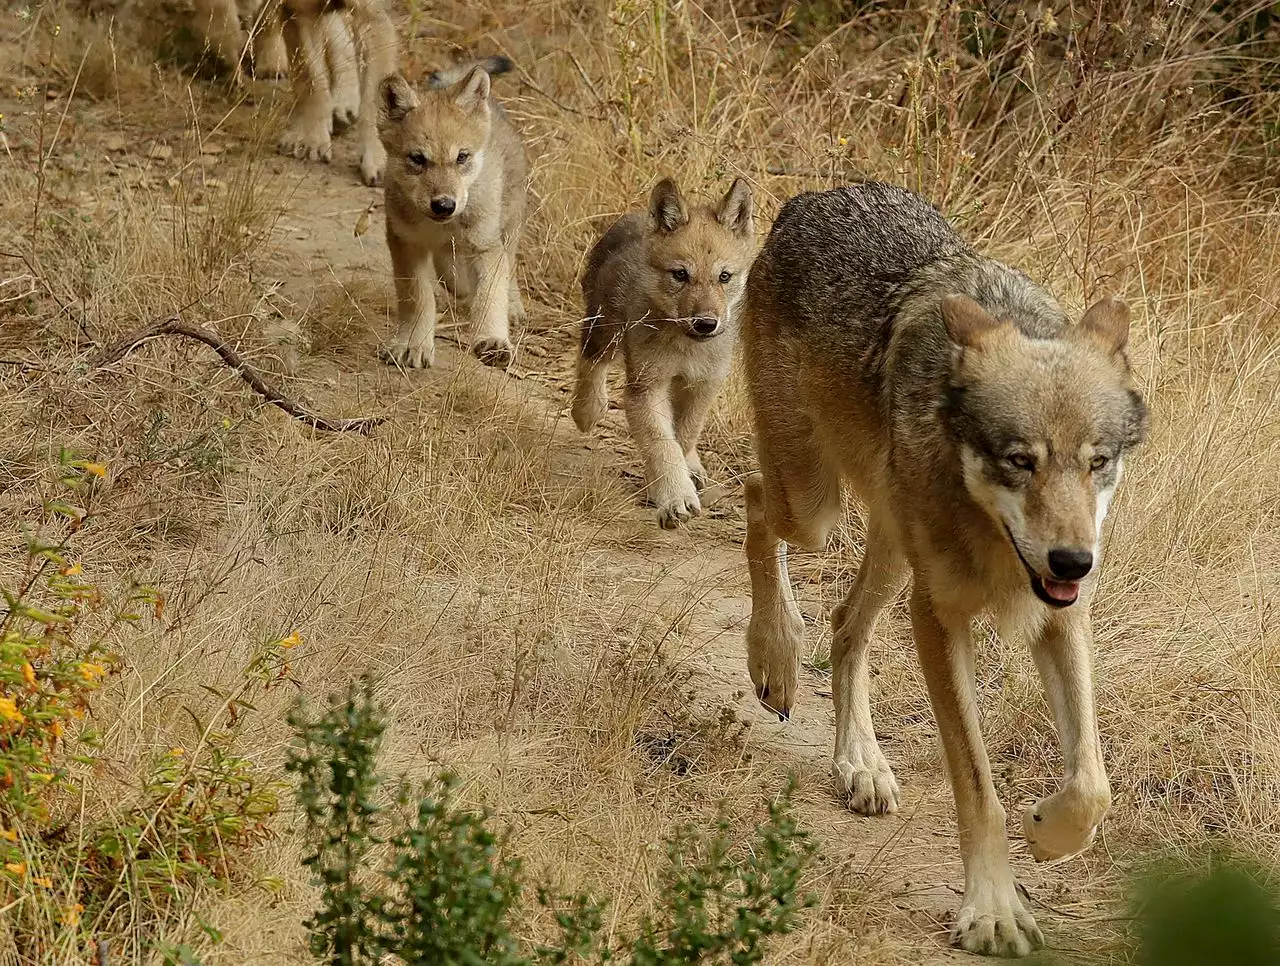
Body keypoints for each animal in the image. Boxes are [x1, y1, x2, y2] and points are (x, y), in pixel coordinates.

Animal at [373, 58, 529, 371]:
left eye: (462, 157)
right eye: (417, 159)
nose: (444, 205)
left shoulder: (485, 246)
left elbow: (490, 295)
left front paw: (493, 340)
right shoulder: (405, 243)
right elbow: (418, 298)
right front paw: (414, 344)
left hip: (507, 227)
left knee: (509, 265)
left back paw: (514, 306)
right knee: (456, 279)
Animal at [573, 176, 757, 524]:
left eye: (724, 277)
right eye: (680, 274)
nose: (705, 323)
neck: (686, 348)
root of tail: (633, 217)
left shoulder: (703, 384)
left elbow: (683, 436)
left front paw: (672, 482)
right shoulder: (646, 387)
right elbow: (663, 443)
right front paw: (675, 497)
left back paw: (694, 468)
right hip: (604, 330)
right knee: (590, 364)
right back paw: (586, 411)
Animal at [742, 181, 1152, 962]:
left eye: (1097, 462)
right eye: (1020, 460)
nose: (1074, 559)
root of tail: (818, 194)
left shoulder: (1061, 616)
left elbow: (1093, 783)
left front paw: (1047, 834)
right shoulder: (938, 619)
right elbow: (979, 785)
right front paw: (993, 912)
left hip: (890, 549)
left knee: (844, 624)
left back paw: (860, 765)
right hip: (816, 508)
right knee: (754, 505)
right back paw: (774, 657)